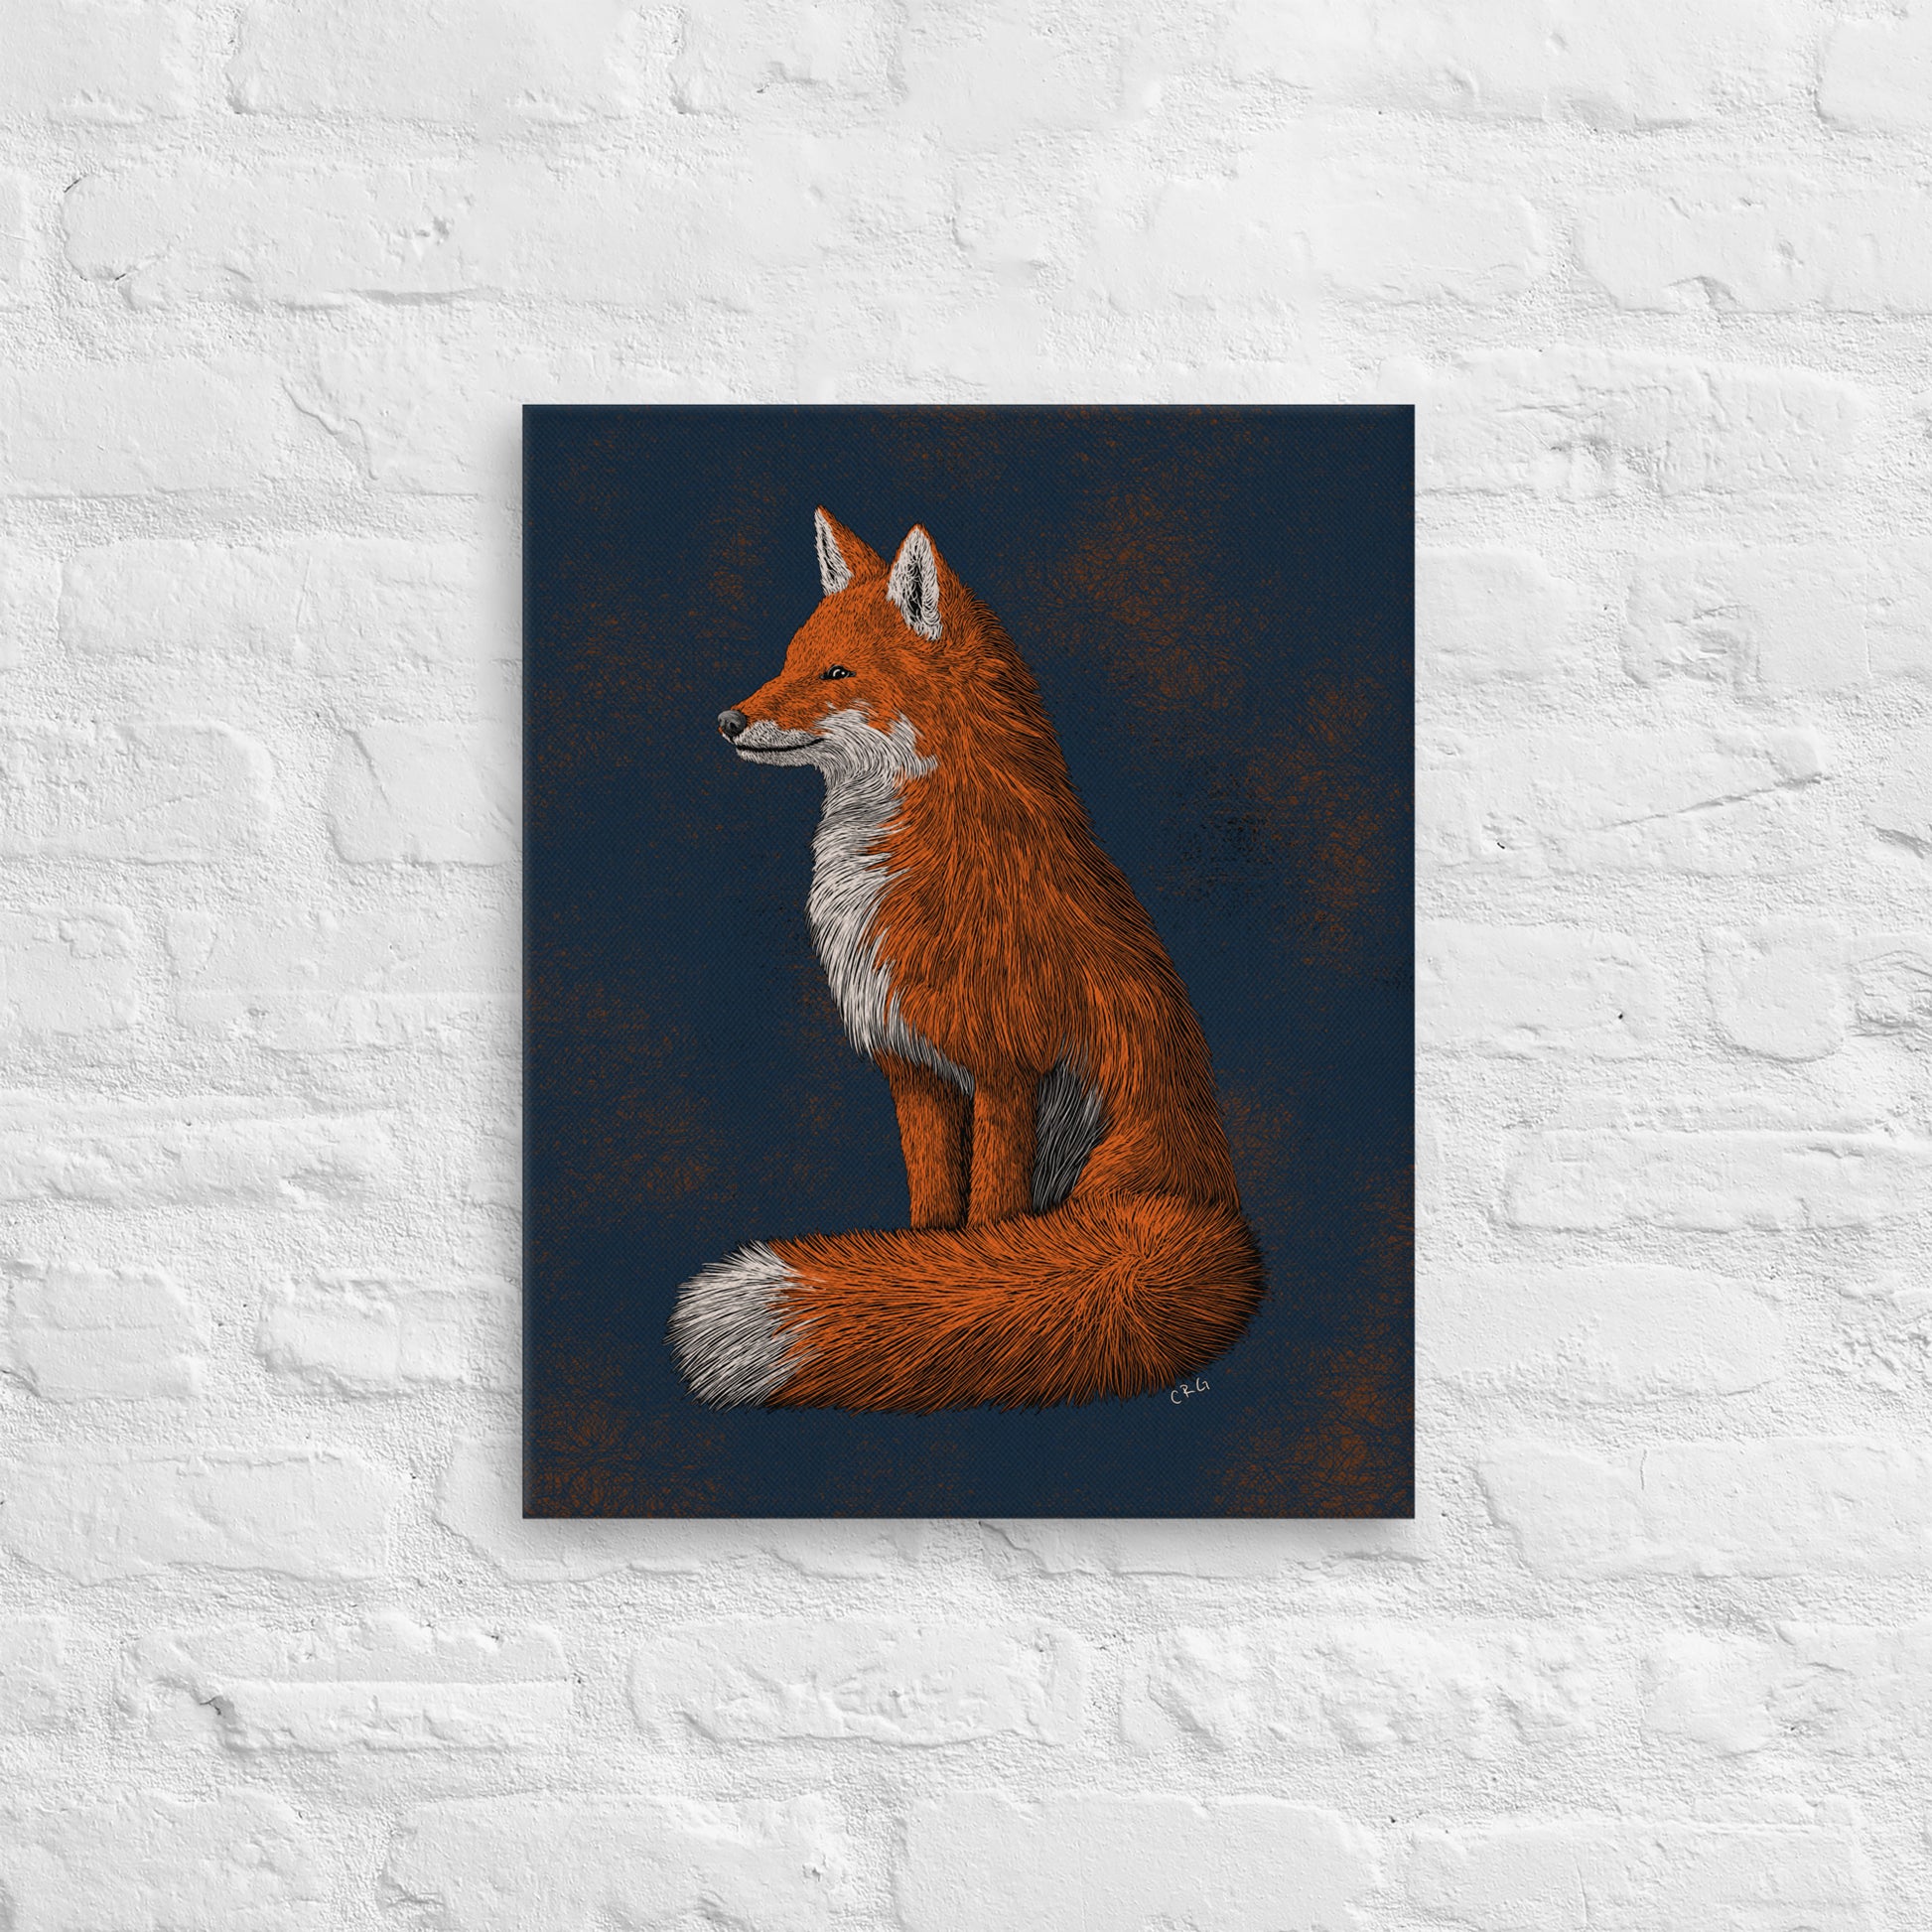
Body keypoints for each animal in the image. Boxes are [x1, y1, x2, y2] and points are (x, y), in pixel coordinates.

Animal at [667, 509, 1266, 1412]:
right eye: (789, 659)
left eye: (835, 672)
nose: (728, 721)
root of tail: (1211, 1202)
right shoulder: (914, 1070)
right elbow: (934, 1220)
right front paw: (920, 1276)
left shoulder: (1006, 1071)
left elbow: (987, 1223)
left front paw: (959, 1284)